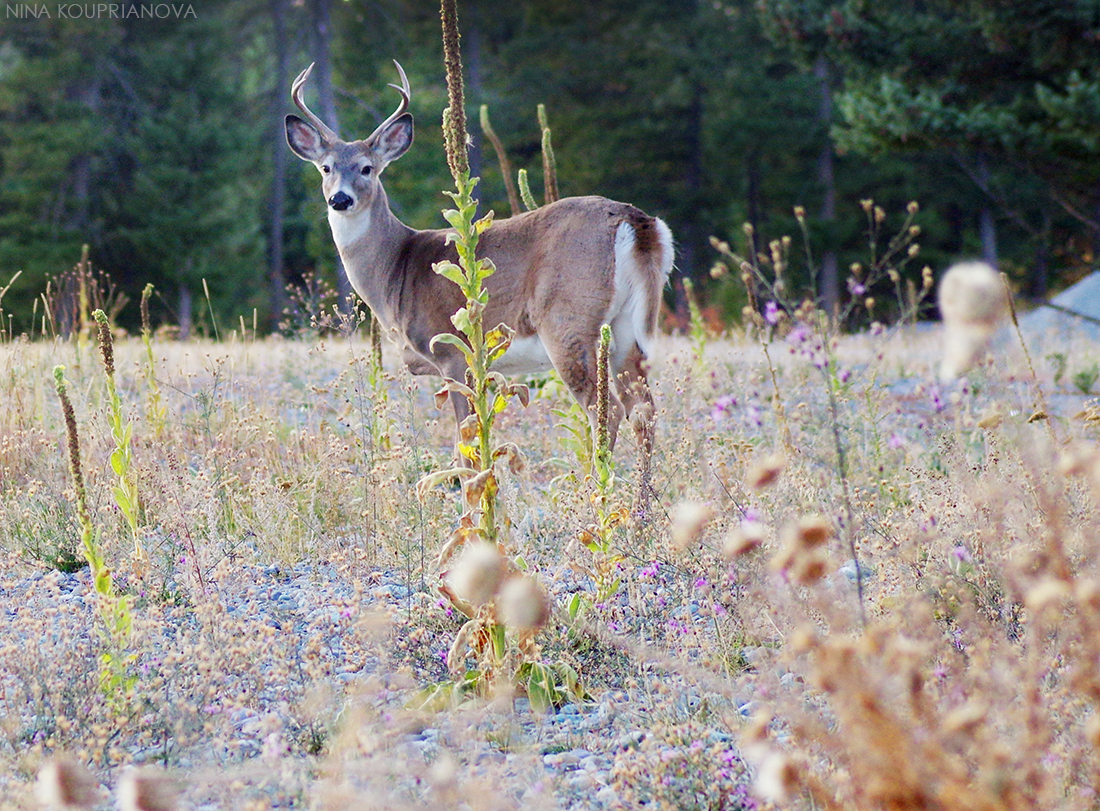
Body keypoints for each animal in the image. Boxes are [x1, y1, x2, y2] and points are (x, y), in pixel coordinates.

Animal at [283, 61, 673, 455]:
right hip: (629, 324)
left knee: (605, 409)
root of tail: (635, 221)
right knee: (643, 409)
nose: (340, 199)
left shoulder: (452, 352)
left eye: (366, 168)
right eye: (326, 168)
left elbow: (466, 440)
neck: (395, 267)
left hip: (569, 318)